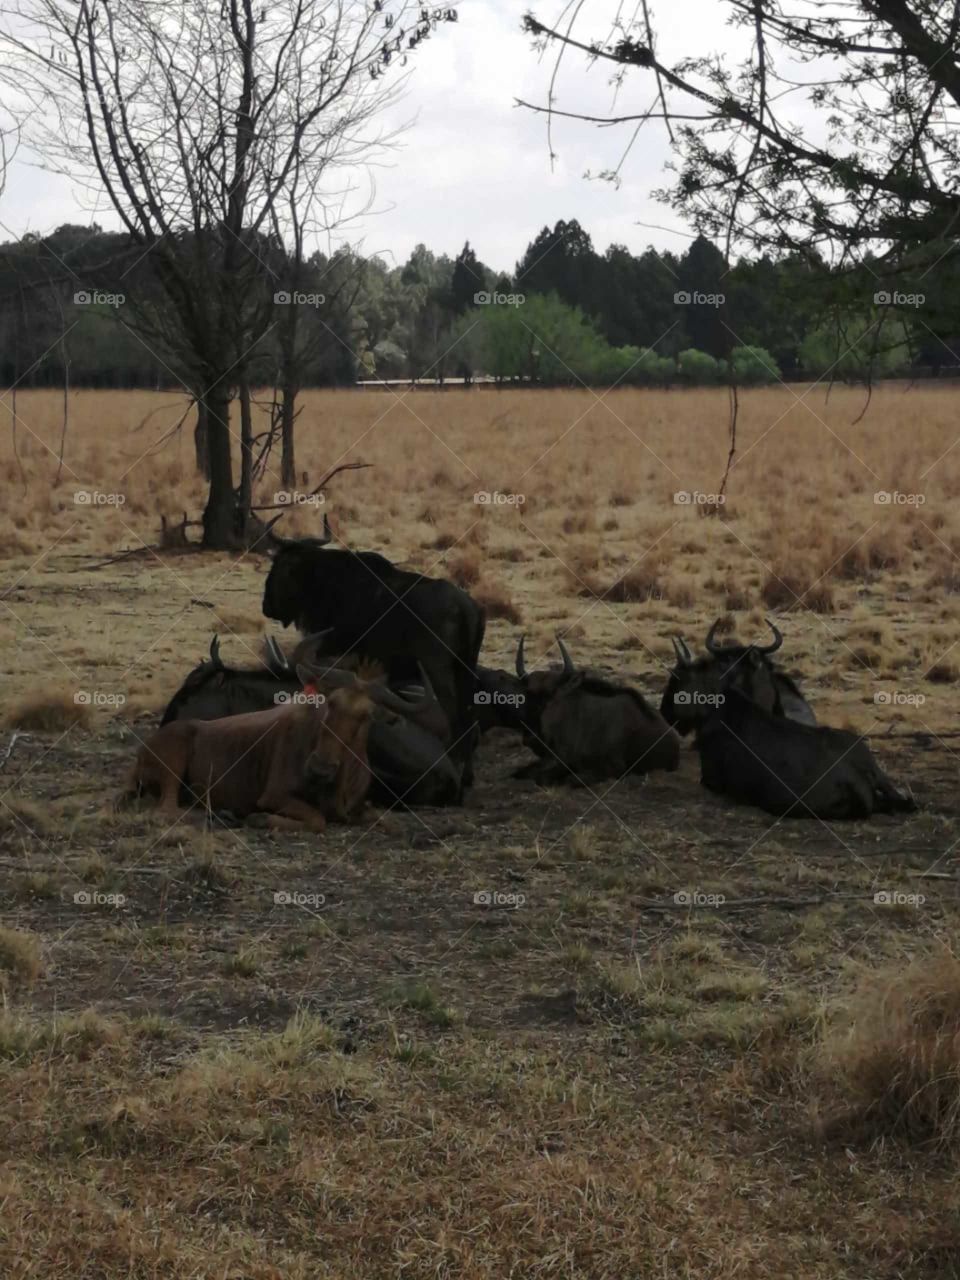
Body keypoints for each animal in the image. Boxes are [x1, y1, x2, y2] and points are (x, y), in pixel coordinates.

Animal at [127, 661, 431, 830]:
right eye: (329, 703)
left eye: (367, 716)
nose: (319, 768)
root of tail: (142, 752)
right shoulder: (274, 797)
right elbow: (317, 821)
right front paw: (260, 820)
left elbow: (384, 821)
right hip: (173, 769)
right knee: (167, 810)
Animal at [261, 515, 485, 800]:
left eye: (279, 565)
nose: (266, 606)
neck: (327, 583)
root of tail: (466, 608)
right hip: (467, 670)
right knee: (470, 717)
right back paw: (467, 776)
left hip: (440, 672)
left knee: (456, 717)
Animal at [512, 634, 681, 784]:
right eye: (527, 695)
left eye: (552, 696)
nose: (531, 737)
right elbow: (520, 772)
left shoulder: (613, 769)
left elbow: (568, 779)